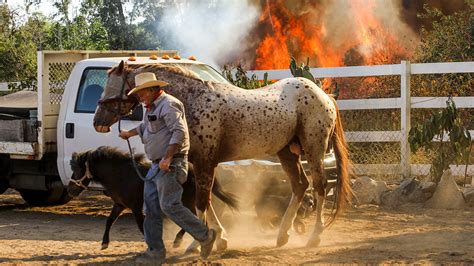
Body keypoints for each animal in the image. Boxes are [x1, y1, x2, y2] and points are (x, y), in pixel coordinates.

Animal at [93, 61, 352, 248]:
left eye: (111, 88)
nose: (98, 122)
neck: (191, 102)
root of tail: (325, 96)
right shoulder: (199, 165)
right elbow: (205, 203)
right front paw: (215, 239)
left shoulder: (206, 163)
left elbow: (202, 203)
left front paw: (202, 243)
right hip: (287, 153)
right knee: (300, 186)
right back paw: (282, 236)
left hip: (314, 150)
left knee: (319, 187)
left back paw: (314, 237)